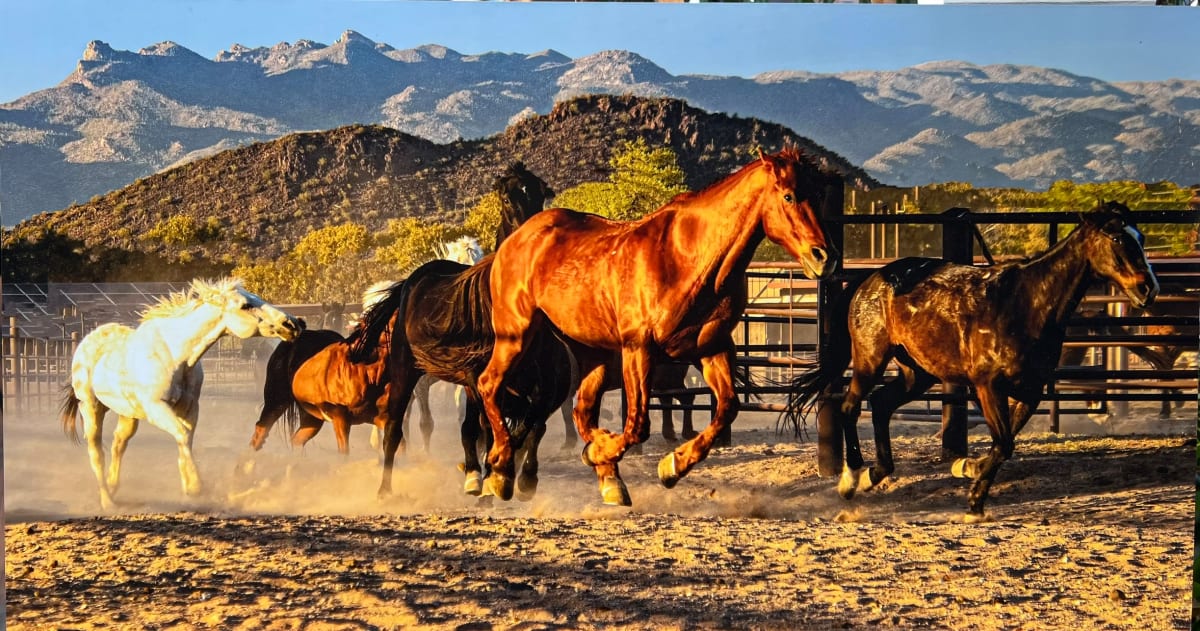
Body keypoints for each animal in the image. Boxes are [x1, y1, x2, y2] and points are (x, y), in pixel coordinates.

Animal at [60, 279, 304, 511]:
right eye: (246, 305)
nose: (293, 324)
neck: (175, 356)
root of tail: (85, 343)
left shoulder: (190, 407)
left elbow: (185, 440)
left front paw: (188, 488)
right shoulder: (156, 408)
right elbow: (182, 436)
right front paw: (196, 487)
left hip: (128, 413)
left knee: (119, 443)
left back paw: (113, 486)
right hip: (91, 407)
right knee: (96, 453)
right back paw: (107, 501)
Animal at [475, 146, 835, 503]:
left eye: (820, 194)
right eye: (788, 195)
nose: (824, 257)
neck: (688, 258)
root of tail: (518, 238)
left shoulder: (712, 348)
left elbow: (726, 408)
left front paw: (671, 465)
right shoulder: (639, 348)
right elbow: (638, 425)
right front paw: (625, 455)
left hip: (592, 354)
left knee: (580, 411)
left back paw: (608, 477)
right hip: (515, 335)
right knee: (489, 385)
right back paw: (501, 470)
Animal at [792, 202, 1156, 520]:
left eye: (1141, 237)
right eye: (1118, 238)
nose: (1148, 289)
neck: (1027, 304)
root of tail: (870, 280)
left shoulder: (1031, 391)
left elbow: (1003, 444)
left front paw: (969, 471)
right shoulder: (987, 386)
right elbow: (1004, 443)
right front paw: (973, 502)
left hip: (917, 372)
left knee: (881, 403)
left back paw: (874, 474)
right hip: (871, 358)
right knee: (850, 407)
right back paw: (851, 479)